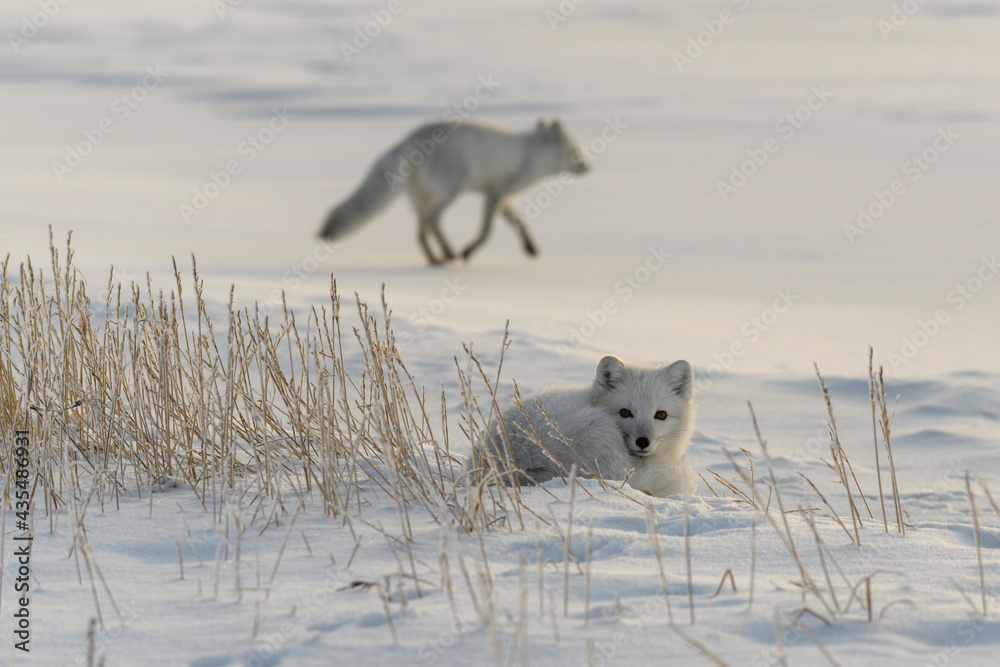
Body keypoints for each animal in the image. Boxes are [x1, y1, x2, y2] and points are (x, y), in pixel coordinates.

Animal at [318, 119, 589, 265]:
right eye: (575, 152)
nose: (589, 167)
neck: (532, 153)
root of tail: (408, 140)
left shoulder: (496, 195)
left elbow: (517, 222)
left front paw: (531, 248)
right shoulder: (499, 194)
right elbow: (487, 231)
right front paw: (467, 252)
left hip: (421, 199)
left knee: (421, 231)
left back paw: (434, 259)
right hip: (450, 192)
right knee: (433, 220)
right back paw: (448, 254)